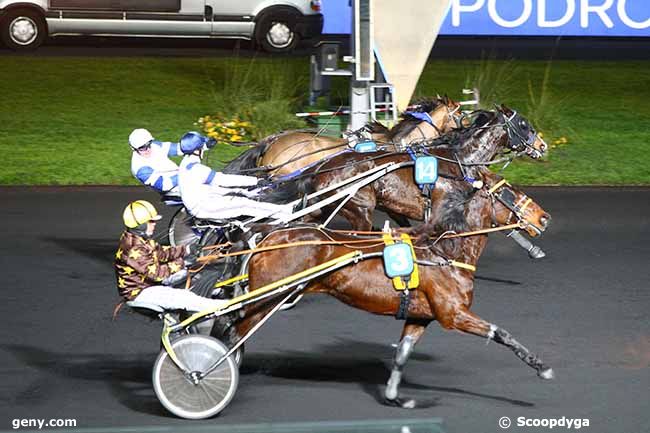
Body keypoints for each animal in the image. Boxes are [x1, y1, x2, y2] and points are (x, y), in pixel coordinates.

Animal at [238, 170, 552, 408]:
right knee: (235, 332)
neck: (444, 252)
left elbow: (402, 353)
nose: (544, 217)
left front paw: (395, 396)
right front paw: (541, 367)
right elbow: (500, 332)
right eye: (510, 192)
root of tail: (271, 236)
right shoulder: (453, 314)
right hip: (265, 299)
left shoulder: (420, 316)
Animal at [298, 105, 548, 230]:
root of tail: (321, 167)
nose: (542, 145)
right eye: (523, 124)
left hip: (322, 208)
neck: (459, 160)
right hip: (359, 209)